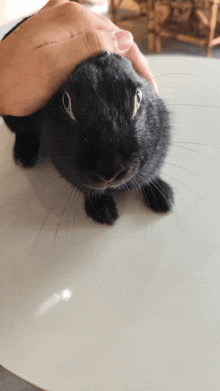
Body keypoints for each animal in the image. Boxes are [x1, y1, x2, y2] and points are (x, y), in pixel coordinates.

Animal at [1, 18, 174, 225]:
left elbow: (150, 177)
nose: (110, 172)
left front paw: (164, 198)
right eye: (66, 102)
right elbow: (91, 191)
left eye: (138, 97)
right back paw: (25, 157)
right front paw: (104, 213)